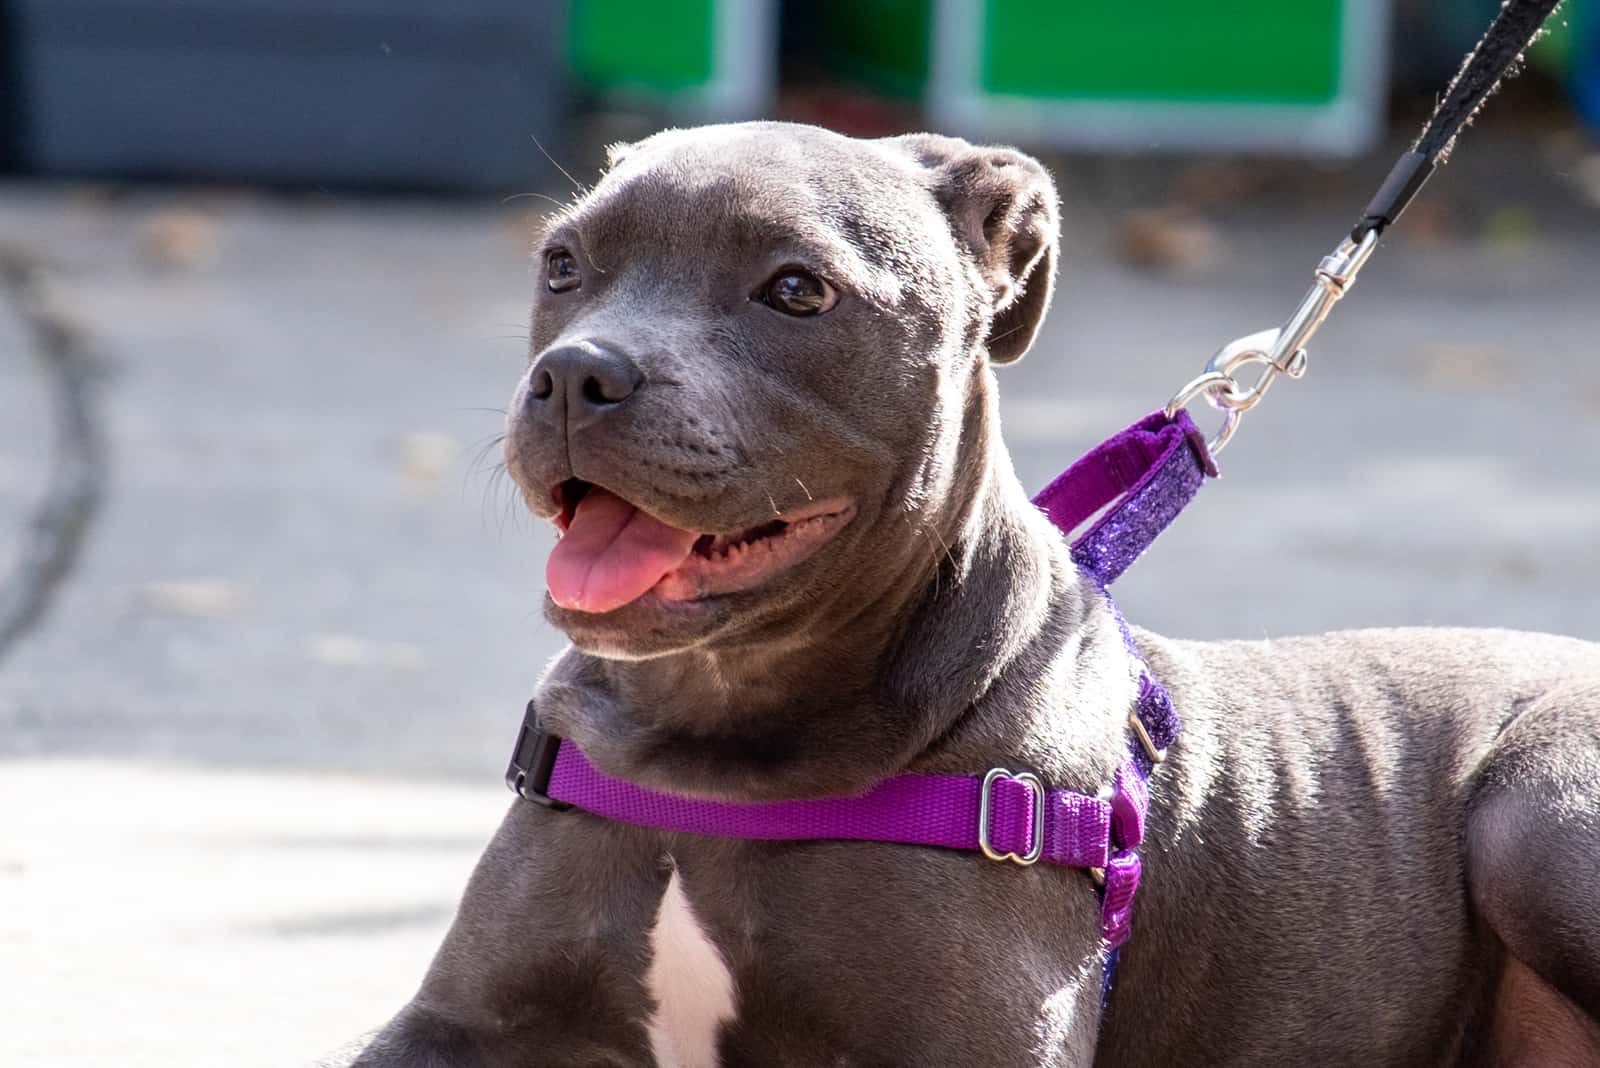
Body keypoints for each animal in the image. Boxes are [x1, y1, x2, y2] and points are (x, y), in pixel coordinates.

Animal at [356, 125, 1600, 1068]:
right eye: (563, 264)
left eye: (795, 289)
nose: (575, 374)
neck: (709, 740)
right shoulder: (453, 1024)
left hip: (1534, 806)